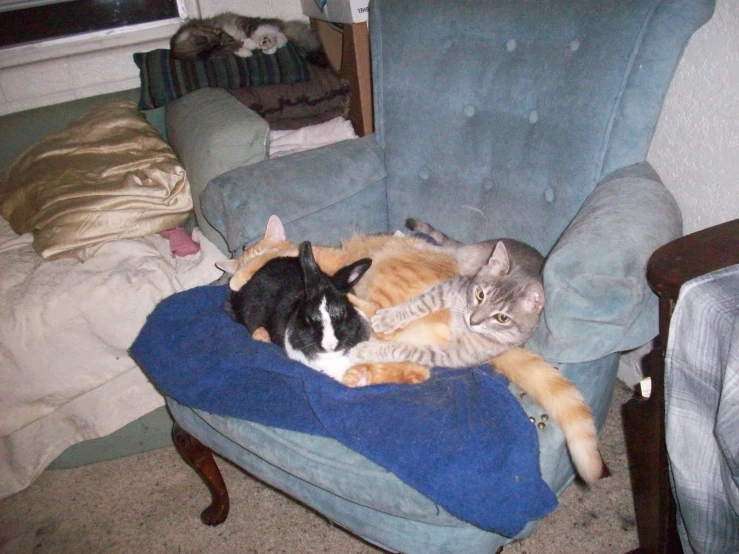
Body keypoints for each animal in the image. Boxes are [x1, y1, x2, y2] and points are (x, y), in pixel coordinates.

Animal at [173, 11, 324, 60]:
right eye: (219, 47)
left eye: (219, 39)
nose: (219, 43)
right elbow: (233, 47)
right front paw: (245, 51)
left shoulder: (218, 31)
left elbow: (232, 41)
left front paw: (245, 48)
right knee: (276, 35)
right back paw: (267, 47)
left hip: (250, 26)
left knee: (277, 33)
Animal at [350, 218, 548, 368]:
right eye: (480, 294)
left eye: (502, 318)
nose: (472, 320)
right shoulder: (453, 286)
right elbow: (419, 304)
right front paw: (390, 318)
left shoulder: (451, 355)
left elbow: (404, 350)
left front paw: (369, 350)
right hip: (468, 256)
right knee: (451, 250)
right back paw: (421, 245)